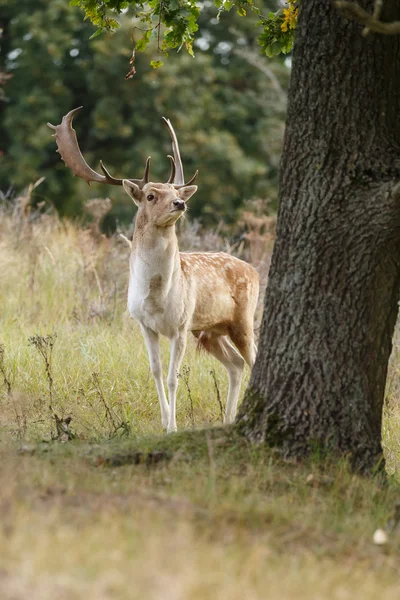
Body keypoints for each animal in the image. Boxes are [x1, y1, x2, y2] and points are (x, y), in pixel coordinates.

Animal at [47, 108, 260, 434]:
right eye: (150, 195)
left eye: (173, 190)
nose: (180, 202)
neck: (157, 296)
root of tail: (255, 271)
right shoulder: (143, 323)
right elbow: (156, 371)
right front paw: (164, 420)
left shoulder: (180, 326)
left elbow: (174, 377)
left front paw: (173, 427)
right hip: (211, 330)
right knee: (235, 365)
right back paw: (228, 419)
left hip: (242, 319)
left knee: (253, 360)